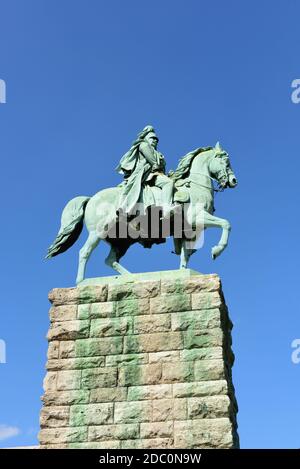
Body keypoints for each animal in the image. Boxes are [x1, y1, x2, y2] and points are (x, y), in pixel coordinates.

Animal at [47, 141, 238, 284]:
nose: (234, 181)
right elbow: (226, 223)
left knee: (110, 260)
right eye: (225, 160)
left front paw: (183, 272)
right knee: (84, 252)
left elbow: (186, 254)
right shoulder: (197, 218)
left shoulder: (186, 231)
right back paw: (81, 281)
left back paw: (131, 278)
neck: (195, 187)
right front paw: (217, 250)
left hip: (121, 241)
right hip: (98, 231)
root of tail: (91, 198)